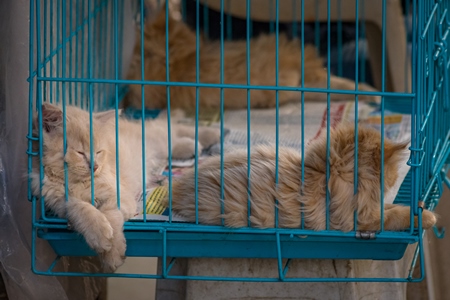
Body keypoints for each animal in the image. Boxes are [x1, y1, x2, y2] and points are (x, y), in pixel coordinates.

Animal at [169, 125, 436, 231]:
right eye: (391, 176)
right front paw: (427, 217)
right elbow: (396, 215)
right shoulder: (360, 220)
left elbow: (392, 207)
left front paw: (421, 206)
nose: (392, 183)